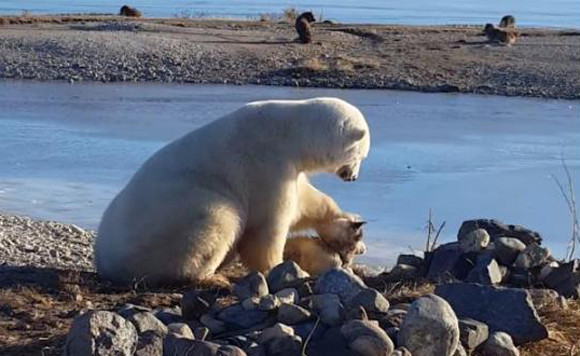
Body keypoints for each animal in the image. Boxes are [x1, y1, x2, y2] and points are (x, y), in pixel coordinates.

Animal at [93, 96, 370, 284]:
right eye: (362, 155)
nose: (353, 177)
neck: (291, 132)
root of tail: (104, 259)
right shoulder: (267, 163)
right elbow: (267, 226)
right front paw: (281, 267)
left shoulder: (290, 169)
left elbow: (306, 202)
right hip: (171, 223)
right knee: (218, 219)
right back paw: (210, 276)